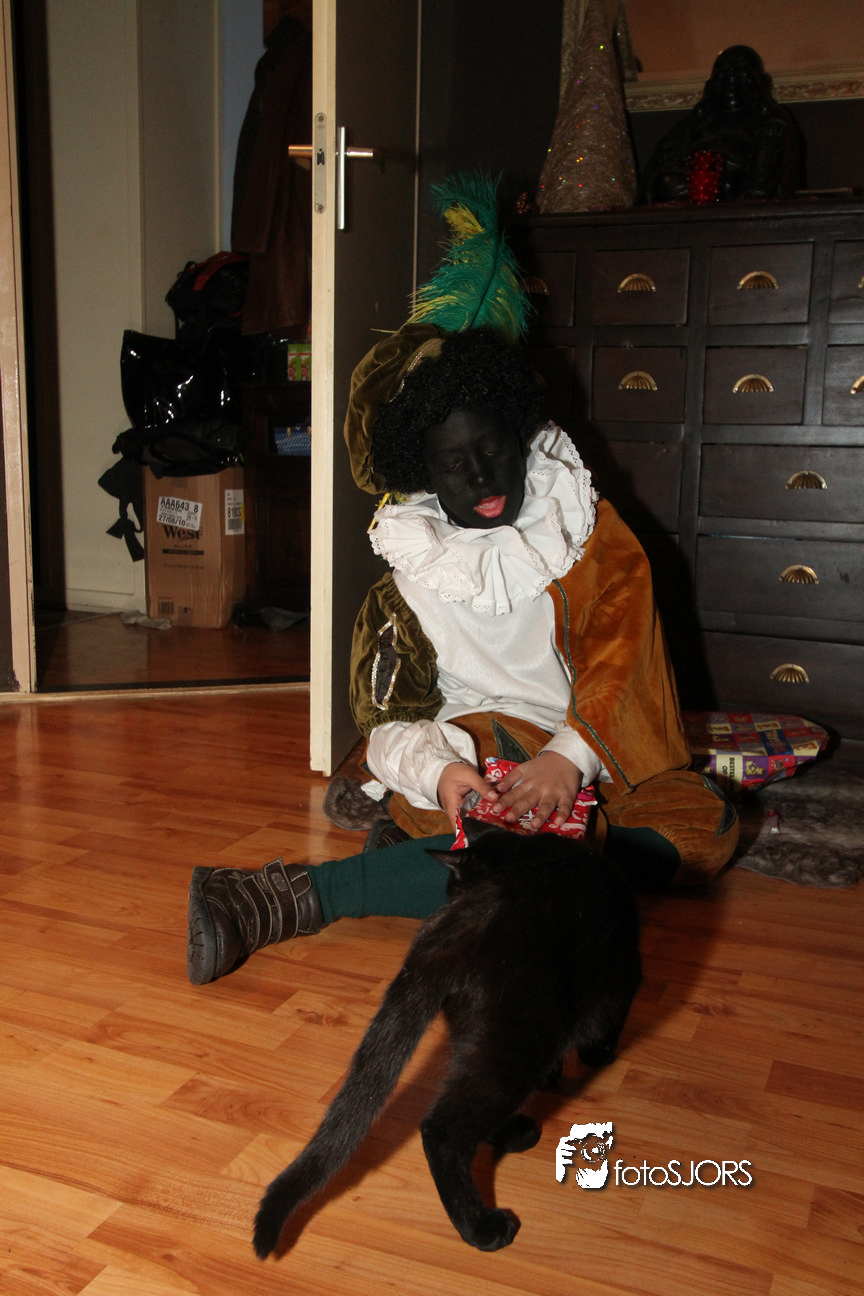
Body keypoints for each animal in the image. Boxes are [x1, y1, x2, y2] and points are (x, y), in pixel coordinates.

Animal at [253, 819, 642, 1256]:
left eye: (452, 885)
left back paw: (513, 1133)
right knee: (442, 1130)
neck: (523, 853)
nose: (450, 897)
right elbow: (608, 1026)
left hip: (476, 1034)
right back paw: (483, 1228)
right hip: (520, 1038)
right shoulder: (623, 975)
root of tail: (453, 925)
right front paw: (600, 1055)